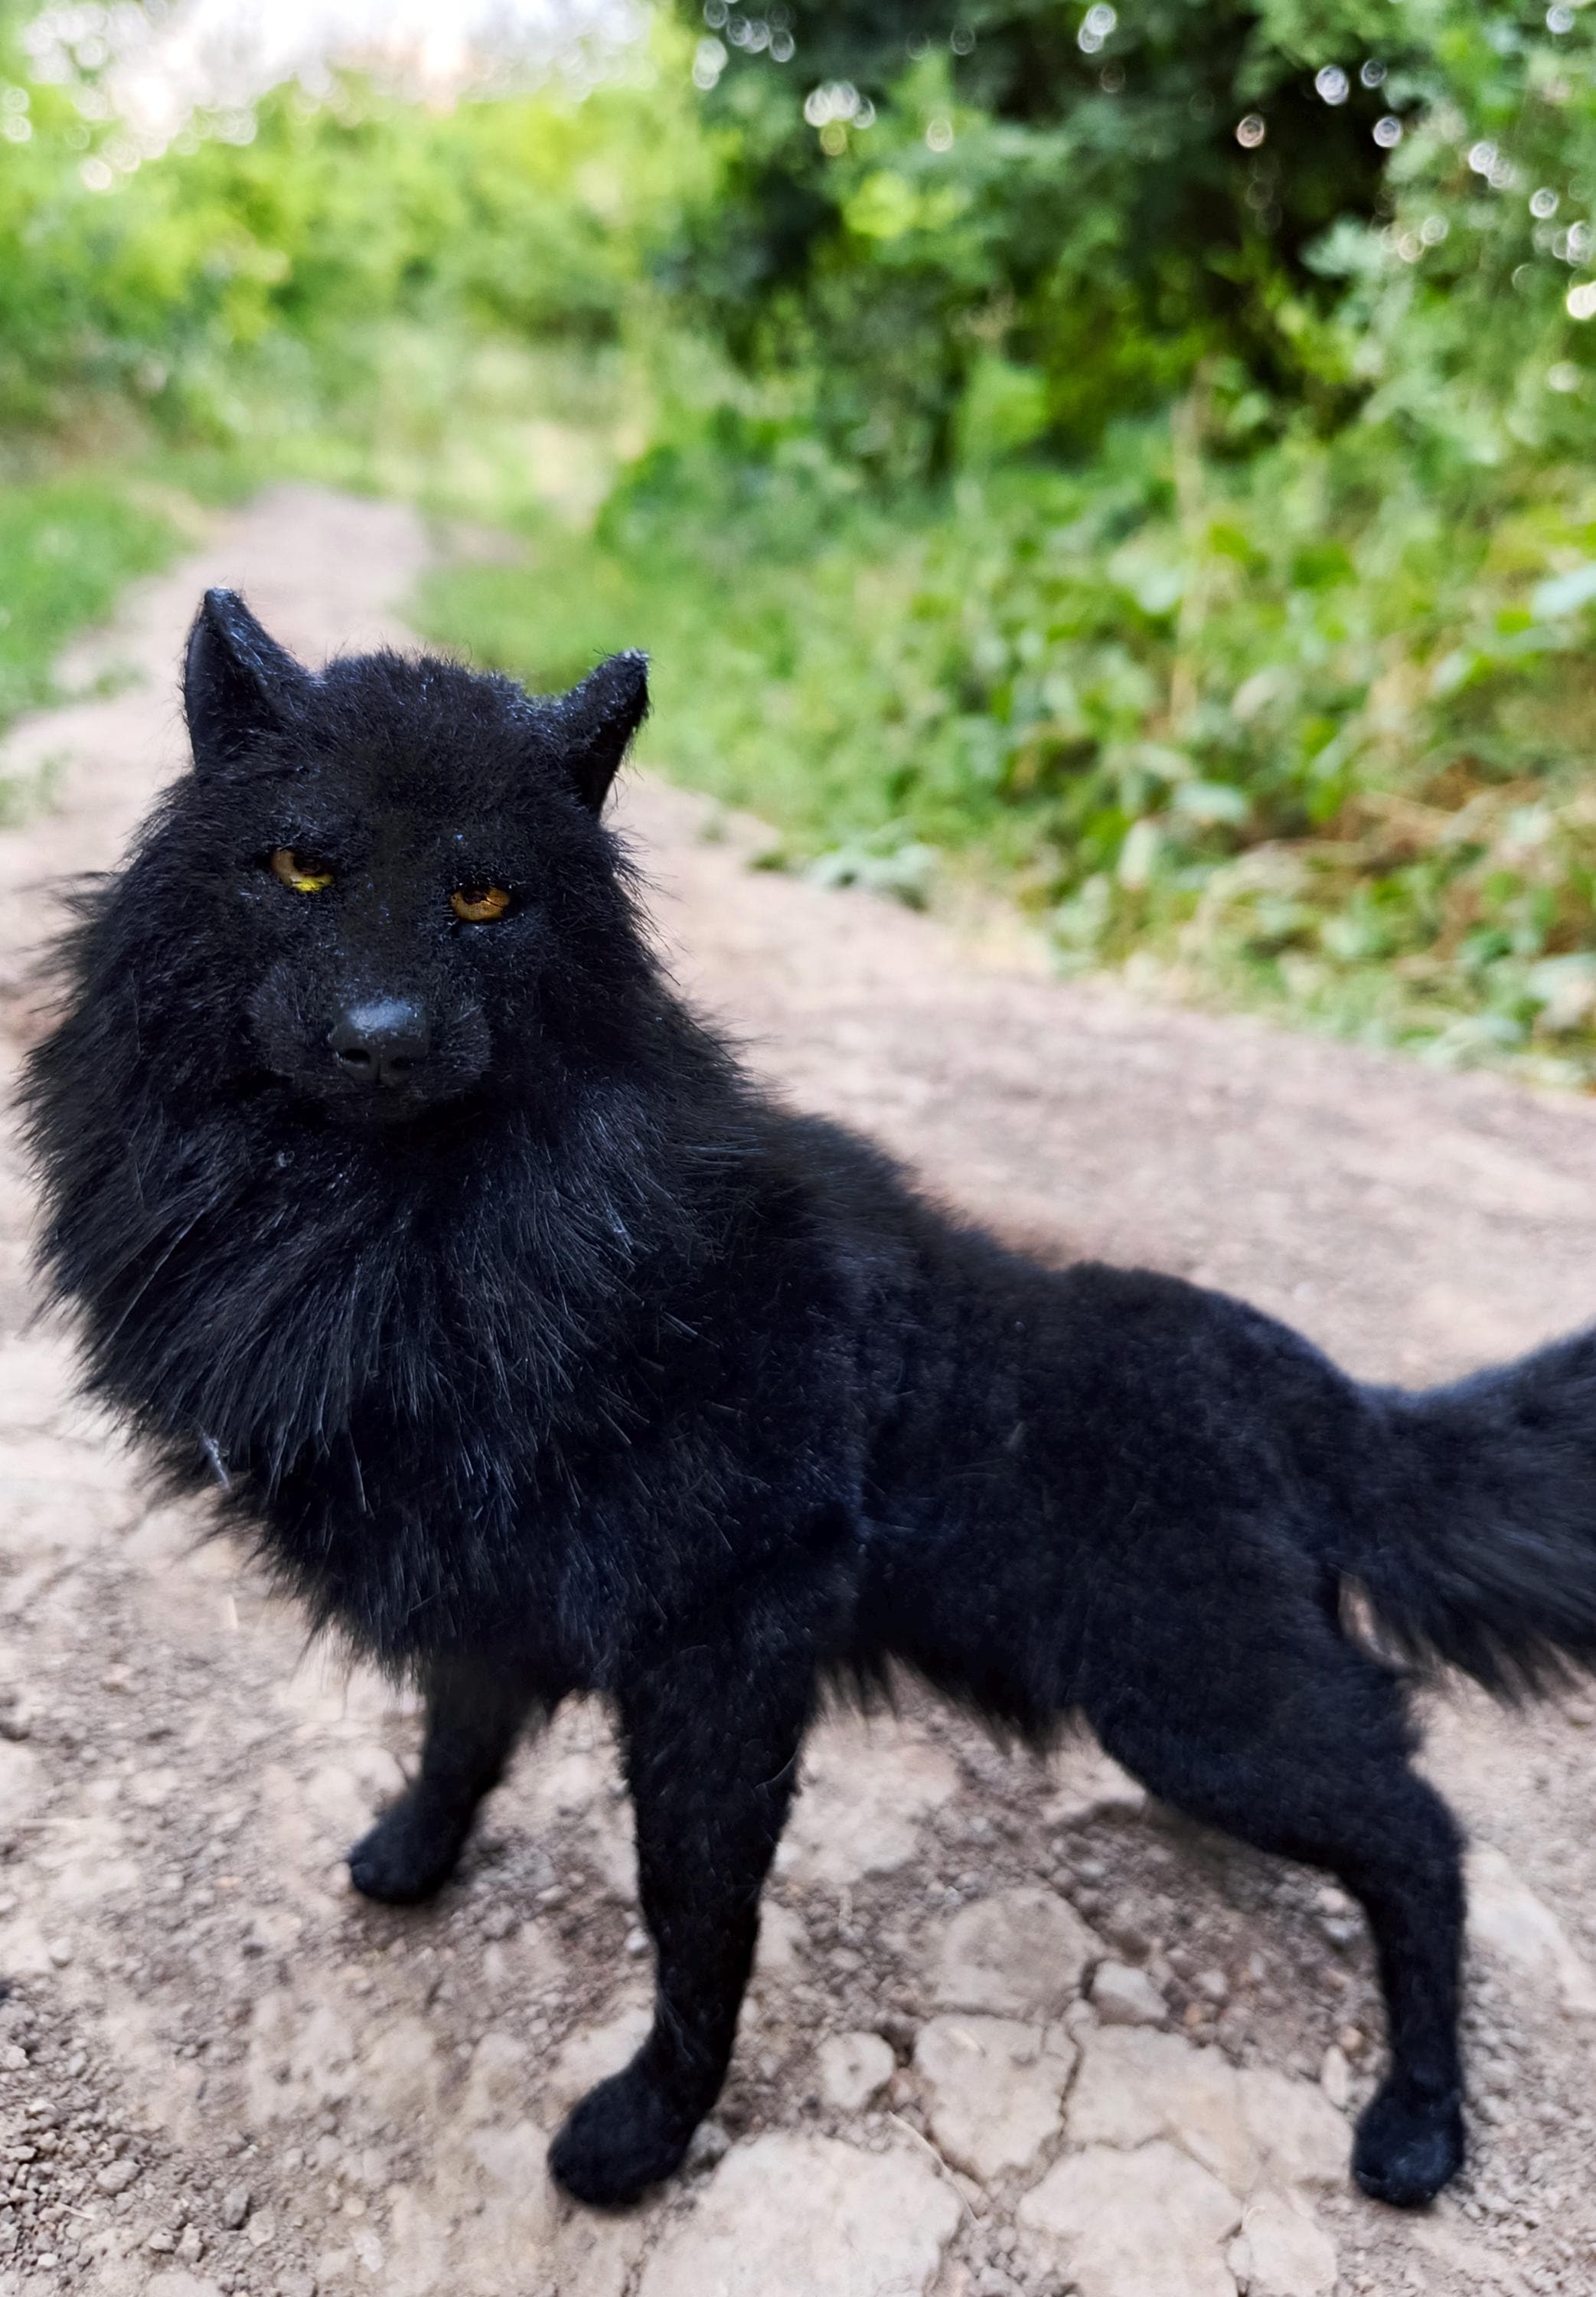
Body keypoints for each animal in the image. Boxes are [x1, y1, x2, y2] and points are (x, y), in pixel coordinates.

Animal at [23, 590, 1596, 2210]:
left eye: (485, 899)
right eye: (302, 865)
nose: (383, 1036)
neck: (392, 1227)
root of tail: (1326, 1397)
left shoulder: (724, 1655)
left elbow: (698, 1925)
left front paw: (645, 2132)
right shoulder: (485, 1590)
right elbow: (458, 1744)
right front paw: (411, 1858)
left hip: (1206, 1710)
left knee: (1426, 1837)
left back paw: (1420, 2125)